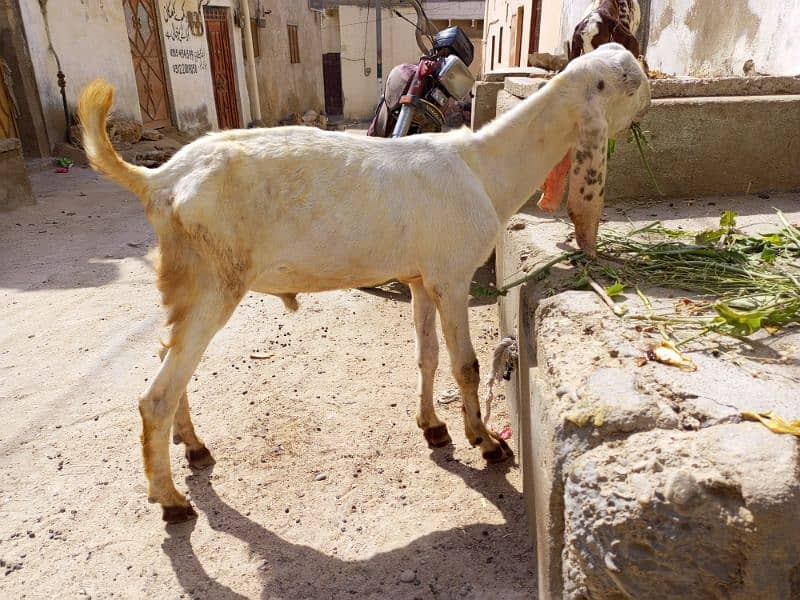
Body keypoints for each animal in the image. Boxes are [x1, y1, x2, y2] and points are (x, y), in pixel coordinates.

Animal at [78, 42, 648, 524]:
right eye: (631, 80)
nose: (648, 104)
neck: (484, 167)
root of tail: (159, 180)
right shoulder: (452, 275)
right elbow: (464, 366)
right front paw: (485, 443)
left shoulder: (420, 278)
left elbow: (427, 355)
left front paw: (432, 427)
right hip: (213, 283)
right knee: (156, 395)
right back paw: (171, 500)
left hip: (188, 283)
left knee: (167, 359)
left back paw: (192, 447)